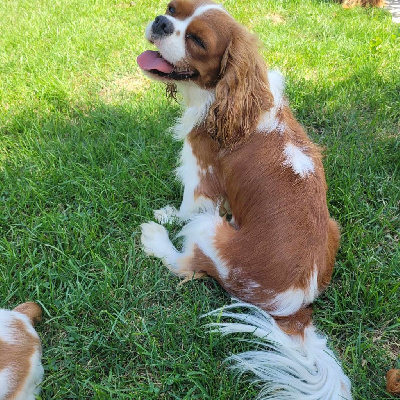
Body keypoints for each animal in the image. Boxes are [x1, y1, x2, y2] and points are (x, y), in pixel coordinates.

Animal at [139, 1, 352, 398]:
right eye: (172, 9)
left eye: (197, 41)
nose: (161, 22)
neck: (235, 99)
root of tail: (294, 310)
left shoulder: (201, 172)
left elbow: (187, 206)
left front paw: (168, 216)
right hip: (334, 226)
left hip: (210, 233)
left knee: (186, 263)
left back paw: (155, 239)